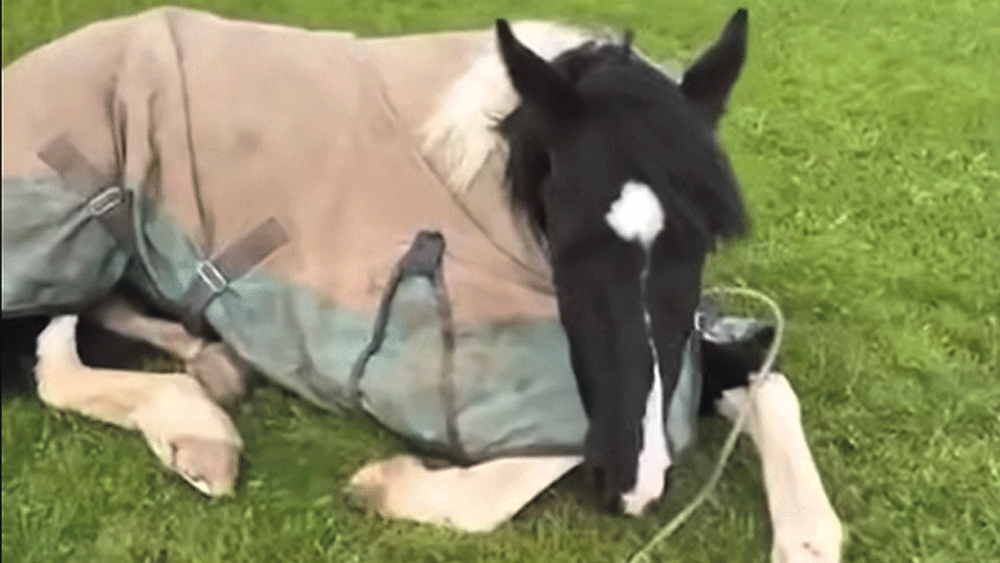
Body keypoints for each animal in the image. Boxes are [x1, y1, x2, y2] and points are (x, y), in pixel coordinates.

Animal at [1, 7, 843, 561]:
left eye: (704, 238)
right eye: (573, 235)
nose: (633, 487)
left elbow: (760, 381)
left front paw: (805, 532)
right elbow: (538, 455)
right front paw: (391, 484)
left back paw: (212, 362)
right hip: (75, 217)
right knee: (47, 352)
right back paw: (197, 430)